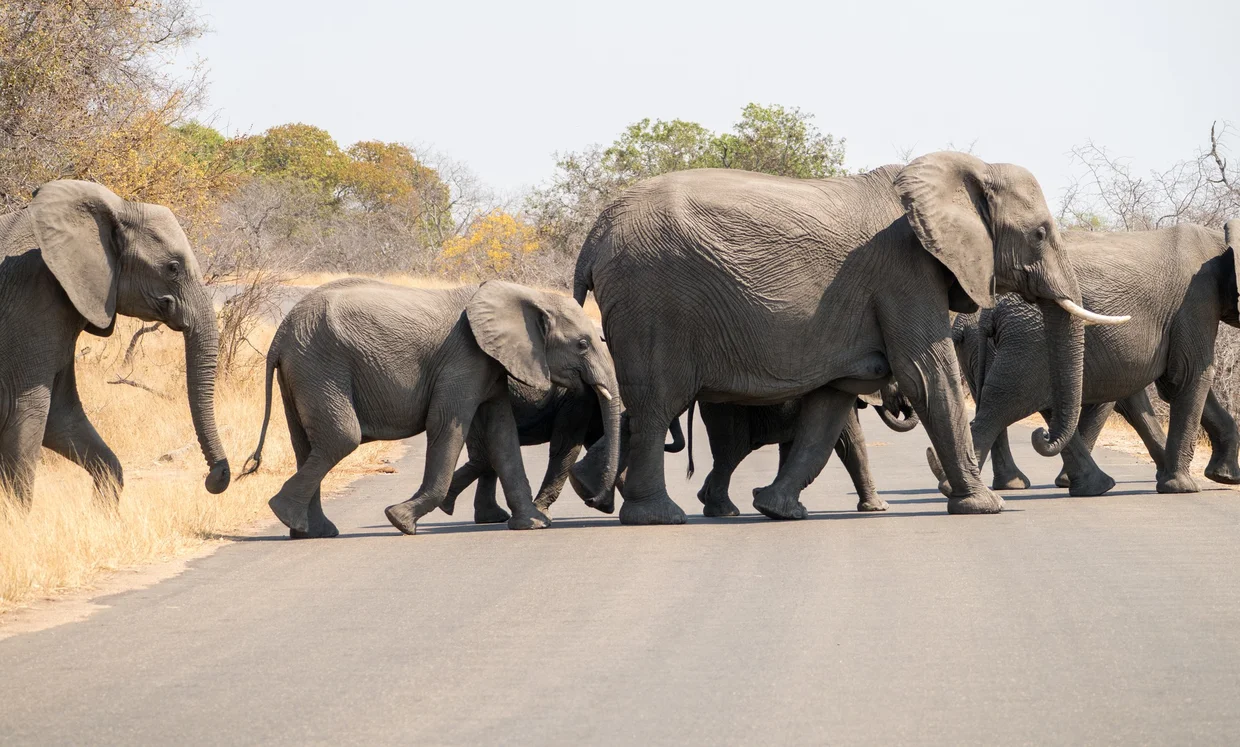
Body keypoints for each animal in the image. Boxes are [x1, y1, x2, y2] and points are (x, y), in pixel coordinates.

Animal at [0, 180, 231, 506]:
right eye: (173, 267)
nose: (216, 477)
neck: (119, 207)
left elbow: (61, 415)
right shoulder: (31, 298)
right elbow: (25, 413)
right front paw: (18, 517)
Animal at [241, 278, 620, 538]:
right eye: (582, 344)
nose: (597, 501)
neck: (527, 294)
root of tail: (280, 335)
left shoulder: (489, 364)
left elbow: (502, 435)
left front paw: (533, 524)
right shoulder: (463, 360)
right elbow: (448, 426)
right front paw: (400, 520)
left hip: (303, 370)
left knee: (308, 445)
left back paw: (310, 530)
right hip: (319, 366)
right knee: (340, 438)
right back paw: (286, 514)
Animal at [438, 378, 685, 523]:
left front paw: (603, 503)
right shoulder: (577, 397)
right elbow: (567, 445)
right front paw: (541, 511)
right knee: (485, 455)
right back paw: (452, 505)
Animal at [570, 153, 1125, 525]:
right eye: (1040, 234)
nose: (1042, 437)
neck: (960, 171)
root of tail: (593, 235)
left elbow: (831, 406)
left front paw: (777, 509)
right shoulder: (904, 271)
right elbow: (928, 376)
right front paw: (986, 506)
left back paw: (598, 493)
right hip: (652, 300)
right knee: (657, 401)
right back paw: (658, 517)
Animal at [937, 220, 1240, 496]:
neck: (1220, 237)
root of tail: (989, 312)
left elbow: (1171, 384)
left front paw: (1224, 477)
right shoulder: (1196, 298)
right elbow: (1188, 375)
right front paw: (1183, 487)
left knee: (1019, 400)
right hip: (1030, 338)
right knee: (1008, 400)